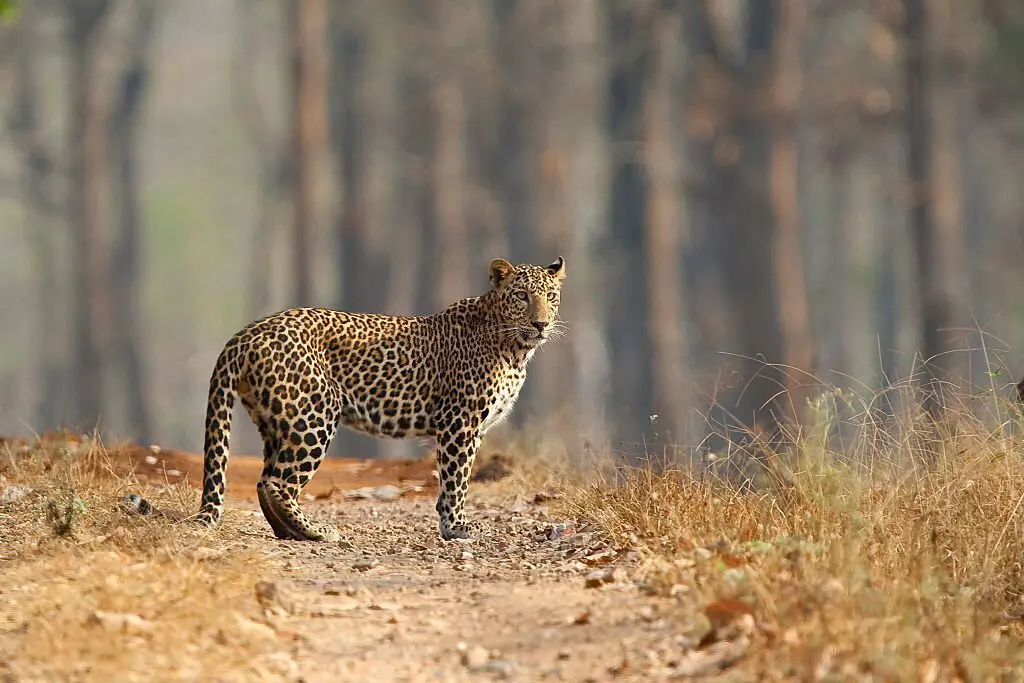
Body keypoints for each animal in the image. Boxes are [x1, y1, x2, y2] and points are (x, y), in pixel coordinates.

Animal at [125, 253, 569, 540]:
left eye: (550, 297)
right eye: (521, 296)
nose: (541, 323)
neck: (514, 348)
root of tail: (245, 334)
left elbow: (451, 481)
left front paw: (451, 526)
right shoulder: (460, 424)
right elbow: (456, 480)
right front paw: (457, 528)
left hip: (276, 420)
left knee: (265, 481)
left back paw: (292, 533)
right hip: (314, 416)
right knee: (277, 483)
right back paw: (318, 532)